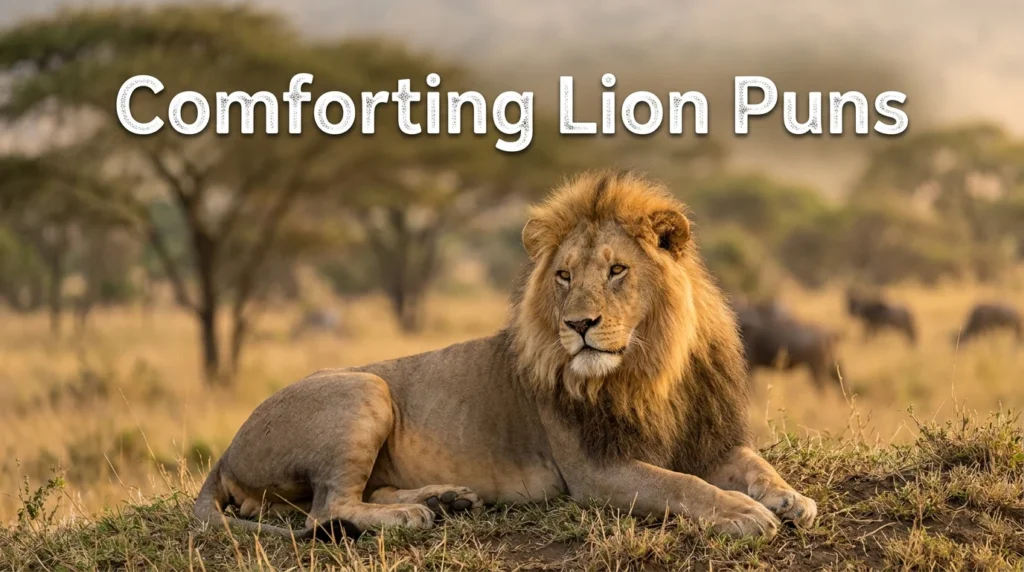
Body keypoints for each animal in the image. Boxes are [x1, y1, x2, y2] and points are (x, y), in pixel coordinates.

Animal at [193, 170, 818, 541]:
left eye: (617, 270)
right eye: (564, 276)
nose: (579, 325)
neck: (650, 369)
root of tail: (223, 453)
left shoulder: (707, 439)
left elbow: (755, 465)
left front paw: (791, 499)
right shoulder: (596, 472)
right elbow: (684, 487)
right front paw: (743, 513)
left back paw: (447, 498)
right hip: (364, 389)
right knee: (328, 508)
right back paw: (409, 515)